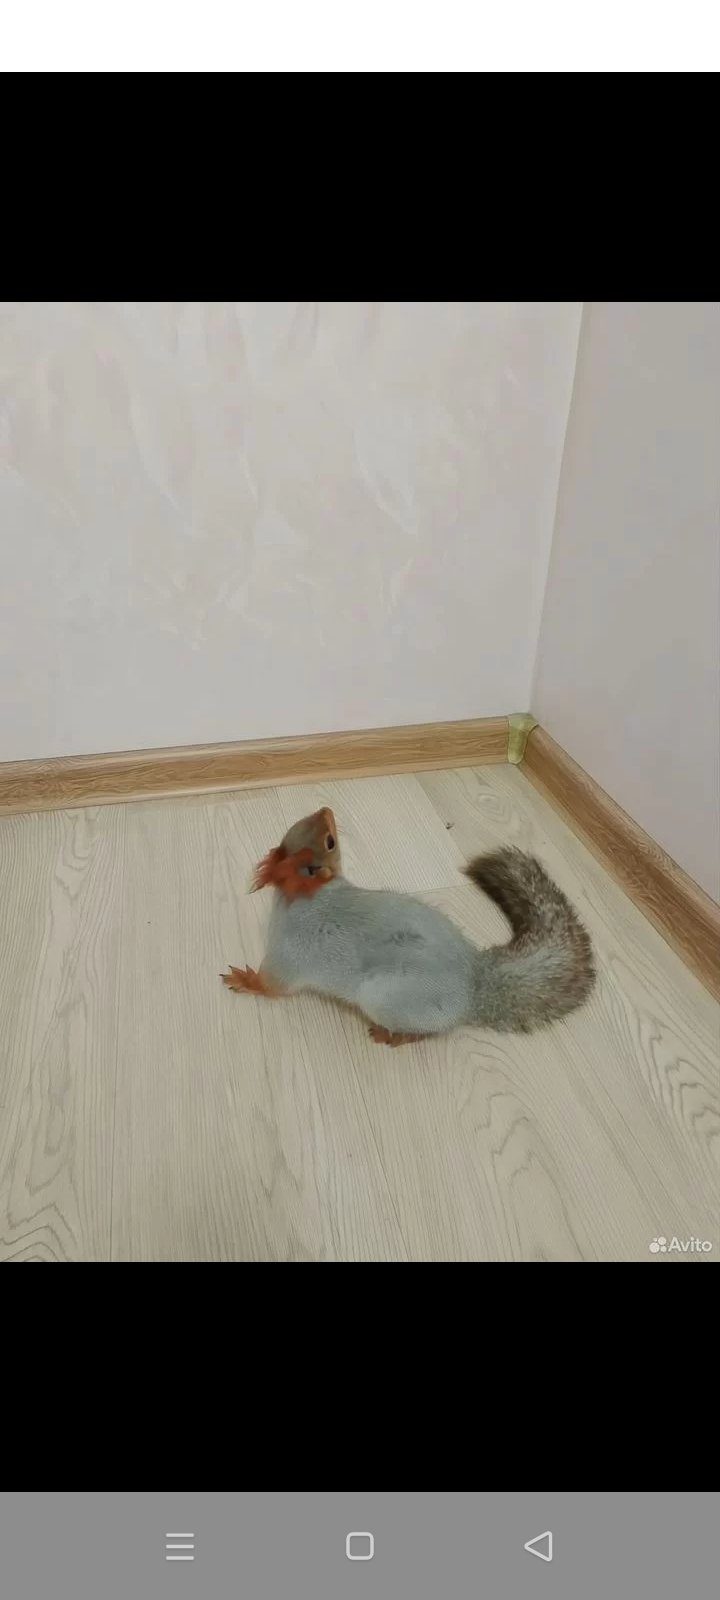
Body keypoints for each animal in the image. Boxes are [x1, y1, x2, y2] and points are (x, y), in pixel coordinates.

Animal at [221, 805, 595, 1046]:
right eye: (302, 825)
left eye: (329, 840)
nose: (325, 807)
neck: (303, 894)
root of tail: (473, 986)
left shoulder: (289, 954)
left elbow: (273, 985)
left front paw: (246, 980)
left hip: (385, 998)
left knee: (427, 1032)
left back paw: (393, 1036)